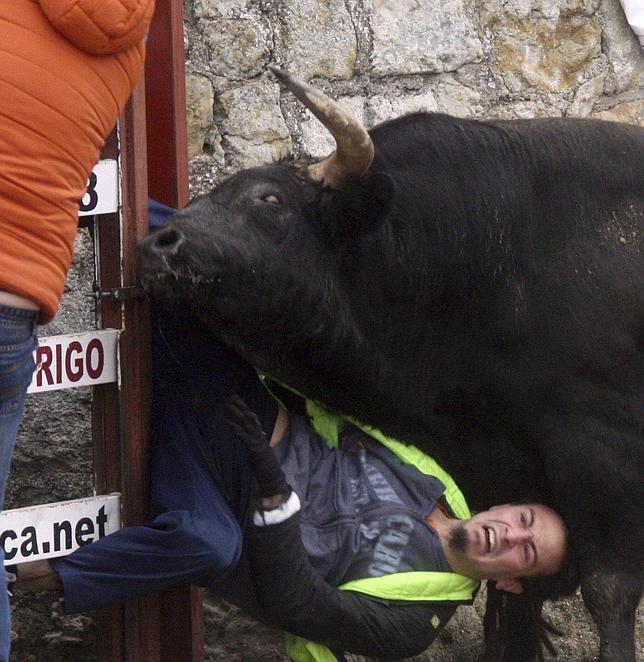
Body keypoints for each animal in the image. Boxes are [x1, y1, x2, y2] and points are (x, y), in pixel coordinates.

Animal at [138, 70, 640, 660]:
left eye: (270, 197)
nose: (158, 242)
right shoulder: (494, 469)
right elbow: (514, 606)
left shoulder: (603, 455)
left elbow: (608, 593)